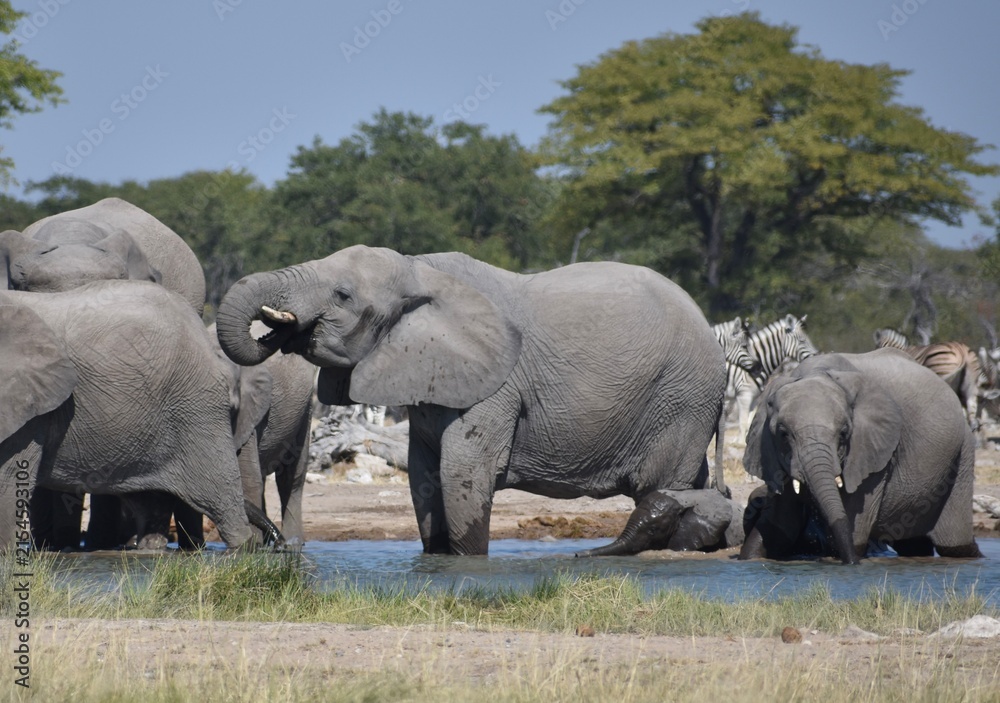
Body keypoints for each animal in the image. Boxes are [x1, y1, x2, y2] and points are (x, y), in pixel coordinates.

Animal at [0, 281, 278, 551]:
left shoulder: (29, 412)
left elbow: (8, 478)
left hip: (196, 407)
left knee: (218, 490)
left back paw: (243, 548)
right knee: (149, 500)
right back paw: (149, 549)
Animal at [215, 245, 728, 556]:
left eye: (342, 294)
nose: (277, 329)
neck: (420, 270)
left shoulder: (495, 385)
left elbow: (462, 474)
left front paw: (466, 566)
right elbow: (423, 476)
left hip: (681, 397)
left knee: (663, 486)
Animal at [739, 348, 982, 564]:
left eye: (844, 433)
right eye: (783, 433)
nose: (852, 564)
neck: (816, 372)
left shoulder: (872, 454)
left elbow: (854, 529)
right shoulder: (771, 454)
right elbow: (778, 527)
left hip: (962, 453)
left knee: (955, 545)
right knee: (915, 545)